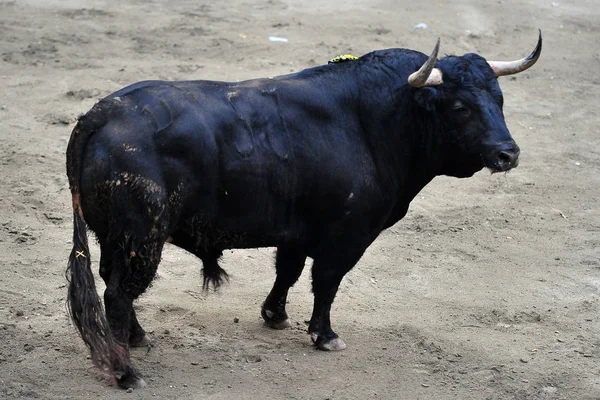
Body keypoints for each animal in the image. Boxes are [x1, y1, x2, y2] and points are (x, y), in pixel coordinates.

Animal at [65, 33, 544, 388]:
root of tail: (99, 115)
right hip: (141, 237)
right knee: (119, 293)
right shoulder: (347, 235)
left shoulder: (297, 231)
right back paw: (126, 371)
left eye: (500, 100)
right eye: (460, 106)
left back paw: (136, 339)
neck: (379, 119)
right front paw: (325, 335)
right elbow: (326, 281)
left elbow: (289, 272)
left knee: (113, 284)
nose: (508, 154)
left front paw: (275, 316)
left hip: (116, 238)